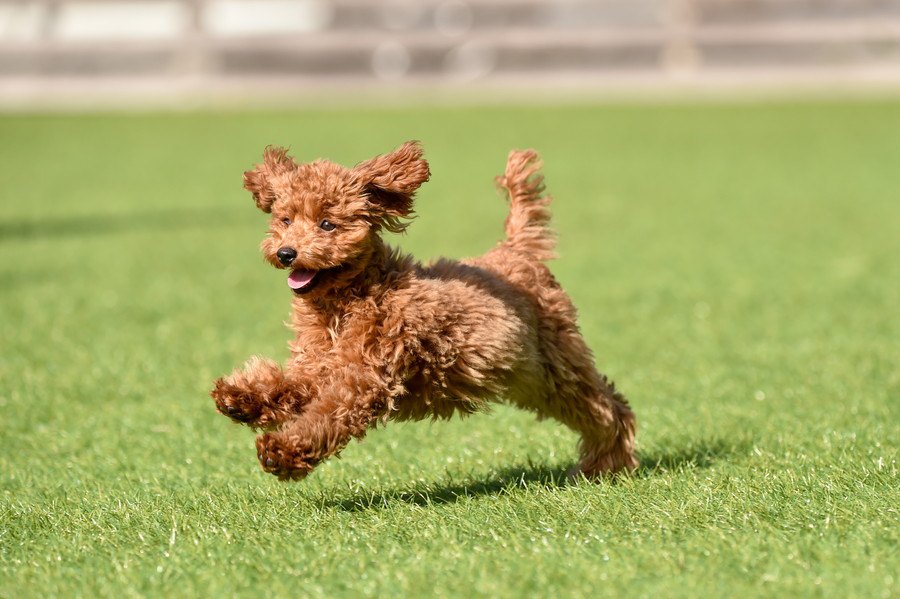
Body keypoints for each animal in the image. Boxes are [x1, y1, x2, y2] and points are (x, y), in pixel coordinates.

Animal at [212, 143, 636, 480]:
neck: (349, 298)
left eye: (327, 224)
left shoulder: (367, 377)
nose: (286, 253)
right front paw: (241, 398)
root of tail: (515, 249)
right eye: (285, 220)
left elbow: (330, 413)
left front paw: (282, 452)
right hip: (532, 378)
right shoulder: (319, 367)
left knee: (608, 406)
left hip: (557, 364)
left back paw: (606, 462)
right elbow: (289, 385)